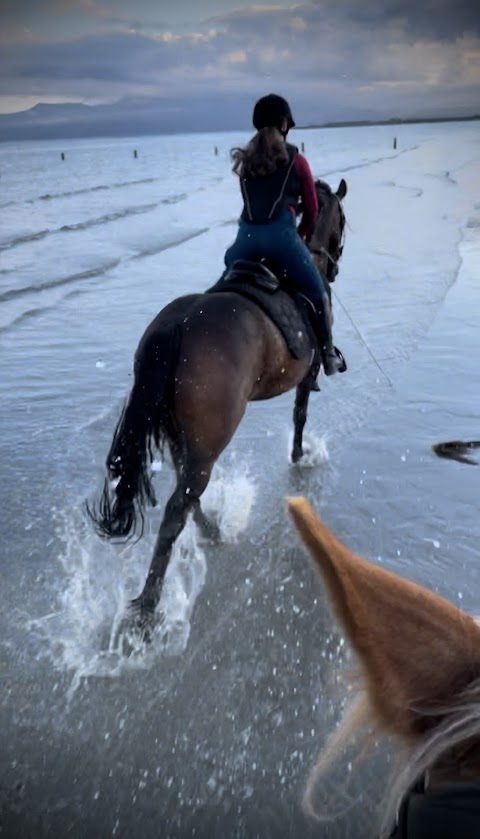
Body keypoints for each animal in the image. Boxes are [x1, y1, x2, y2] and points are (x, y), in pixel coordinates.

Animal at [87, 177, 344, 636]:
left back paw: (211, 531)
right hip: (210, 439)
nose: (335, 265)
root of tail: (179, 323)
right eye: (344, 220)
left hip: (181, 434)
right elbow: (300, 415)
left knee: (186, 493)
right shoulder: (310, 371)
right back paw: (149, 606)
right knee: (177, 507)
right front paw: (299, 455)